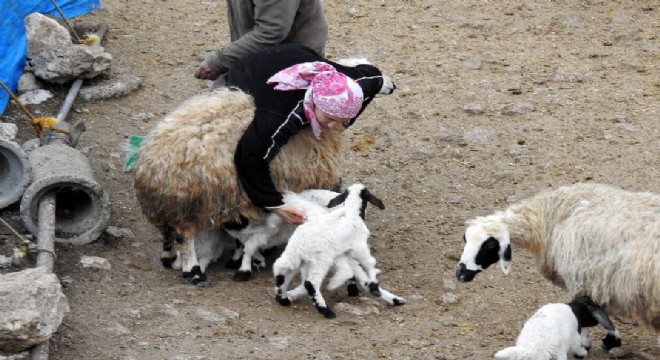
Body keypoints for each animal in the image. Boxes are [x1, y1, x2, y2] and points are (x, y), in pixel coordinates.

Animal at [270, 183, 404, 318]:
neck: (351, 211)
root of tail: (301, 246)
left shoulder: (344, 255)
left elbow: (355, 273)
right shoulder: (359, 247)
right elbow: (369, 263)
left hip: (295, 258)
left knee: (281, 271)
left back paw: (283, 298)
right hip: (320, 261)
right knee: (310, 283)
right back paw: (325, 310)